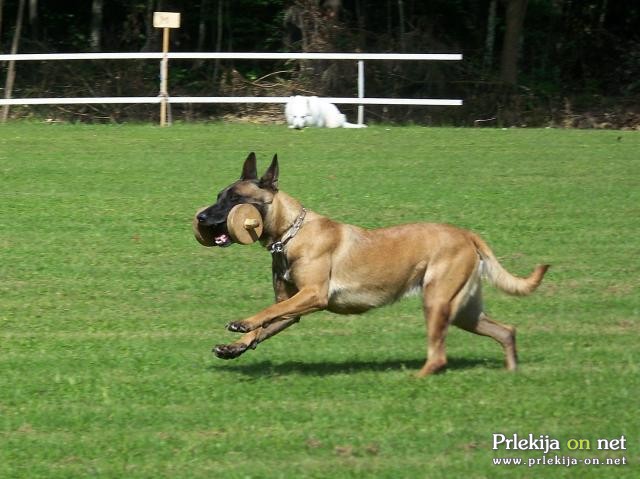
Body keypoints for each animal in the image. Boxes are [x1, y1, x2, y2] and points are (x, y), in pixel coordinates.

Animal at [196, 152, 552, 376]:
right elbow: (270, 320)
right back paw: (511, 372)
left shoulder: (312, 296)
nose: (200, 217)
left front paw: (243, 323)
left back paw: (415, 378)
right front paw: (235, 346)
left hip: (437, 301)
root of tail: (466, 234)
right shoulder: (292, 305)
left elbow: (267, 312)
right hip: (463, 309)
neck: (291, 233)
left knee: (438, 355)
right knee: (505, 332)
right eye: (218, 195)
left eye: (234, 199)